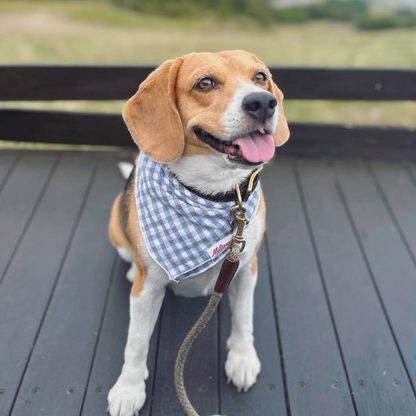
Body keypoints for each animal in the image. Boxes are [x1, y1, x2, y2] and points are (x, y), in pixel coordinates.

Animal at [107, 49, 290, 416]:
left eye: (260, 77)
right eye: (205, 83)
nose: (263, 103)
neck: (216, 194)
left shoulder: (246, 269)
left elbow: (244, 317)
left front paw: (242, 358)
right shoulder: (147, 290)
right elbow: (136, 341)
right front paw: (128, 388)